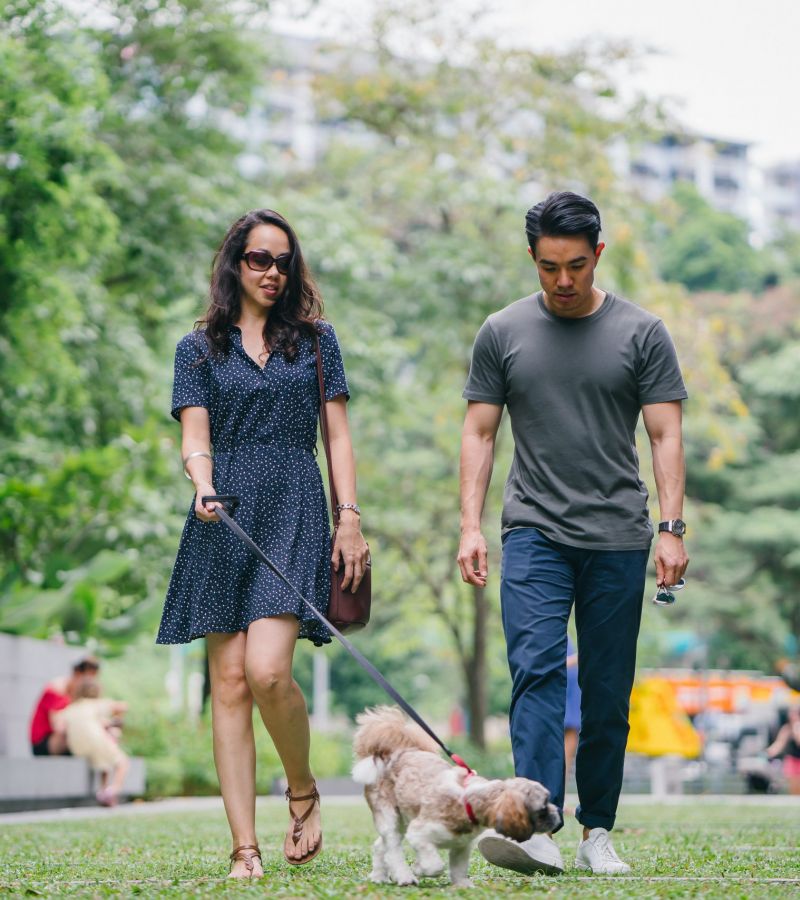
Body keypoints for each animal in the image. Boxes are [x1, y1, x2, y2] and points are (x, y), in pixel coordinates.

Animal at [354, 704, 560, 884]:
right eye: (543, 807)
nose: (557, 815)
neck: (467, 799)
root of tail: (396, 753)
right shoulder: (419, 833)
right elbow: (435, 865)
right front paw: (420, 868)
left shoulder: (461, 846)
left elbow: (459, 868)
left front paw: (462, 885)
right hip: (390, 816)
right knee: (393, 849)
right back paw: (405, 877)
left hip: (402, 819)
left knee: (381, 846)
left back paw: (378, 877)